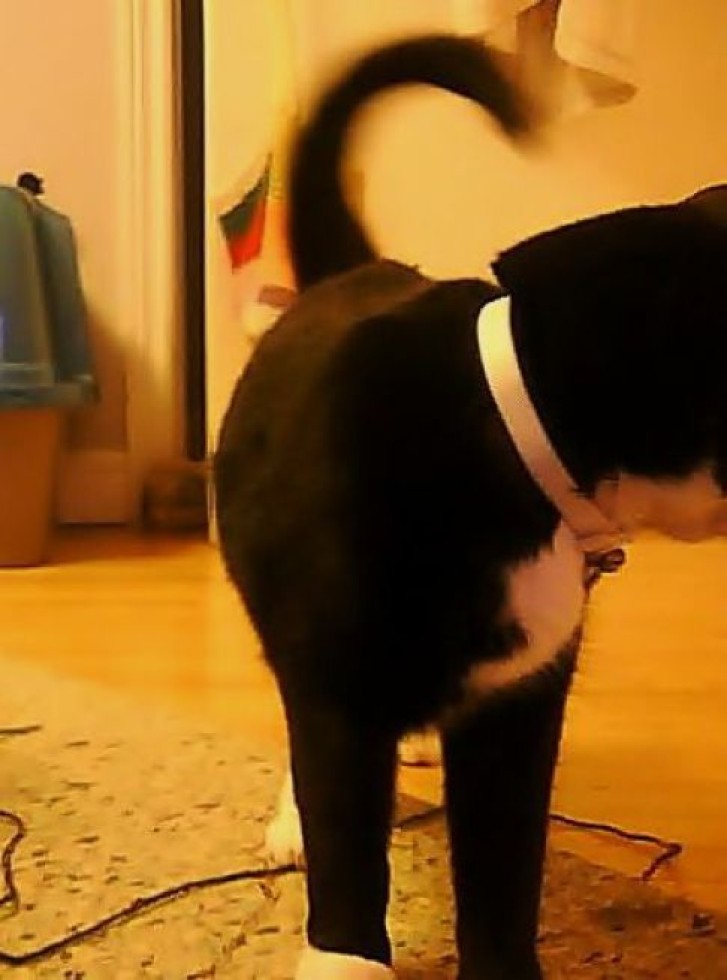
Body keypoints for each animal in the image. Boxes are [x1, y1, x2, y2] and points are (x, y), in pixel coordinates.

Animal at [214, 34, 727, 980]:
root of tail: (357, 270)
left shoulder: (518, 702)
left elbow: (503, 861)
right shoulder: (340, 688)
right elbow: (346, 831)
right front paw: (345, 959)